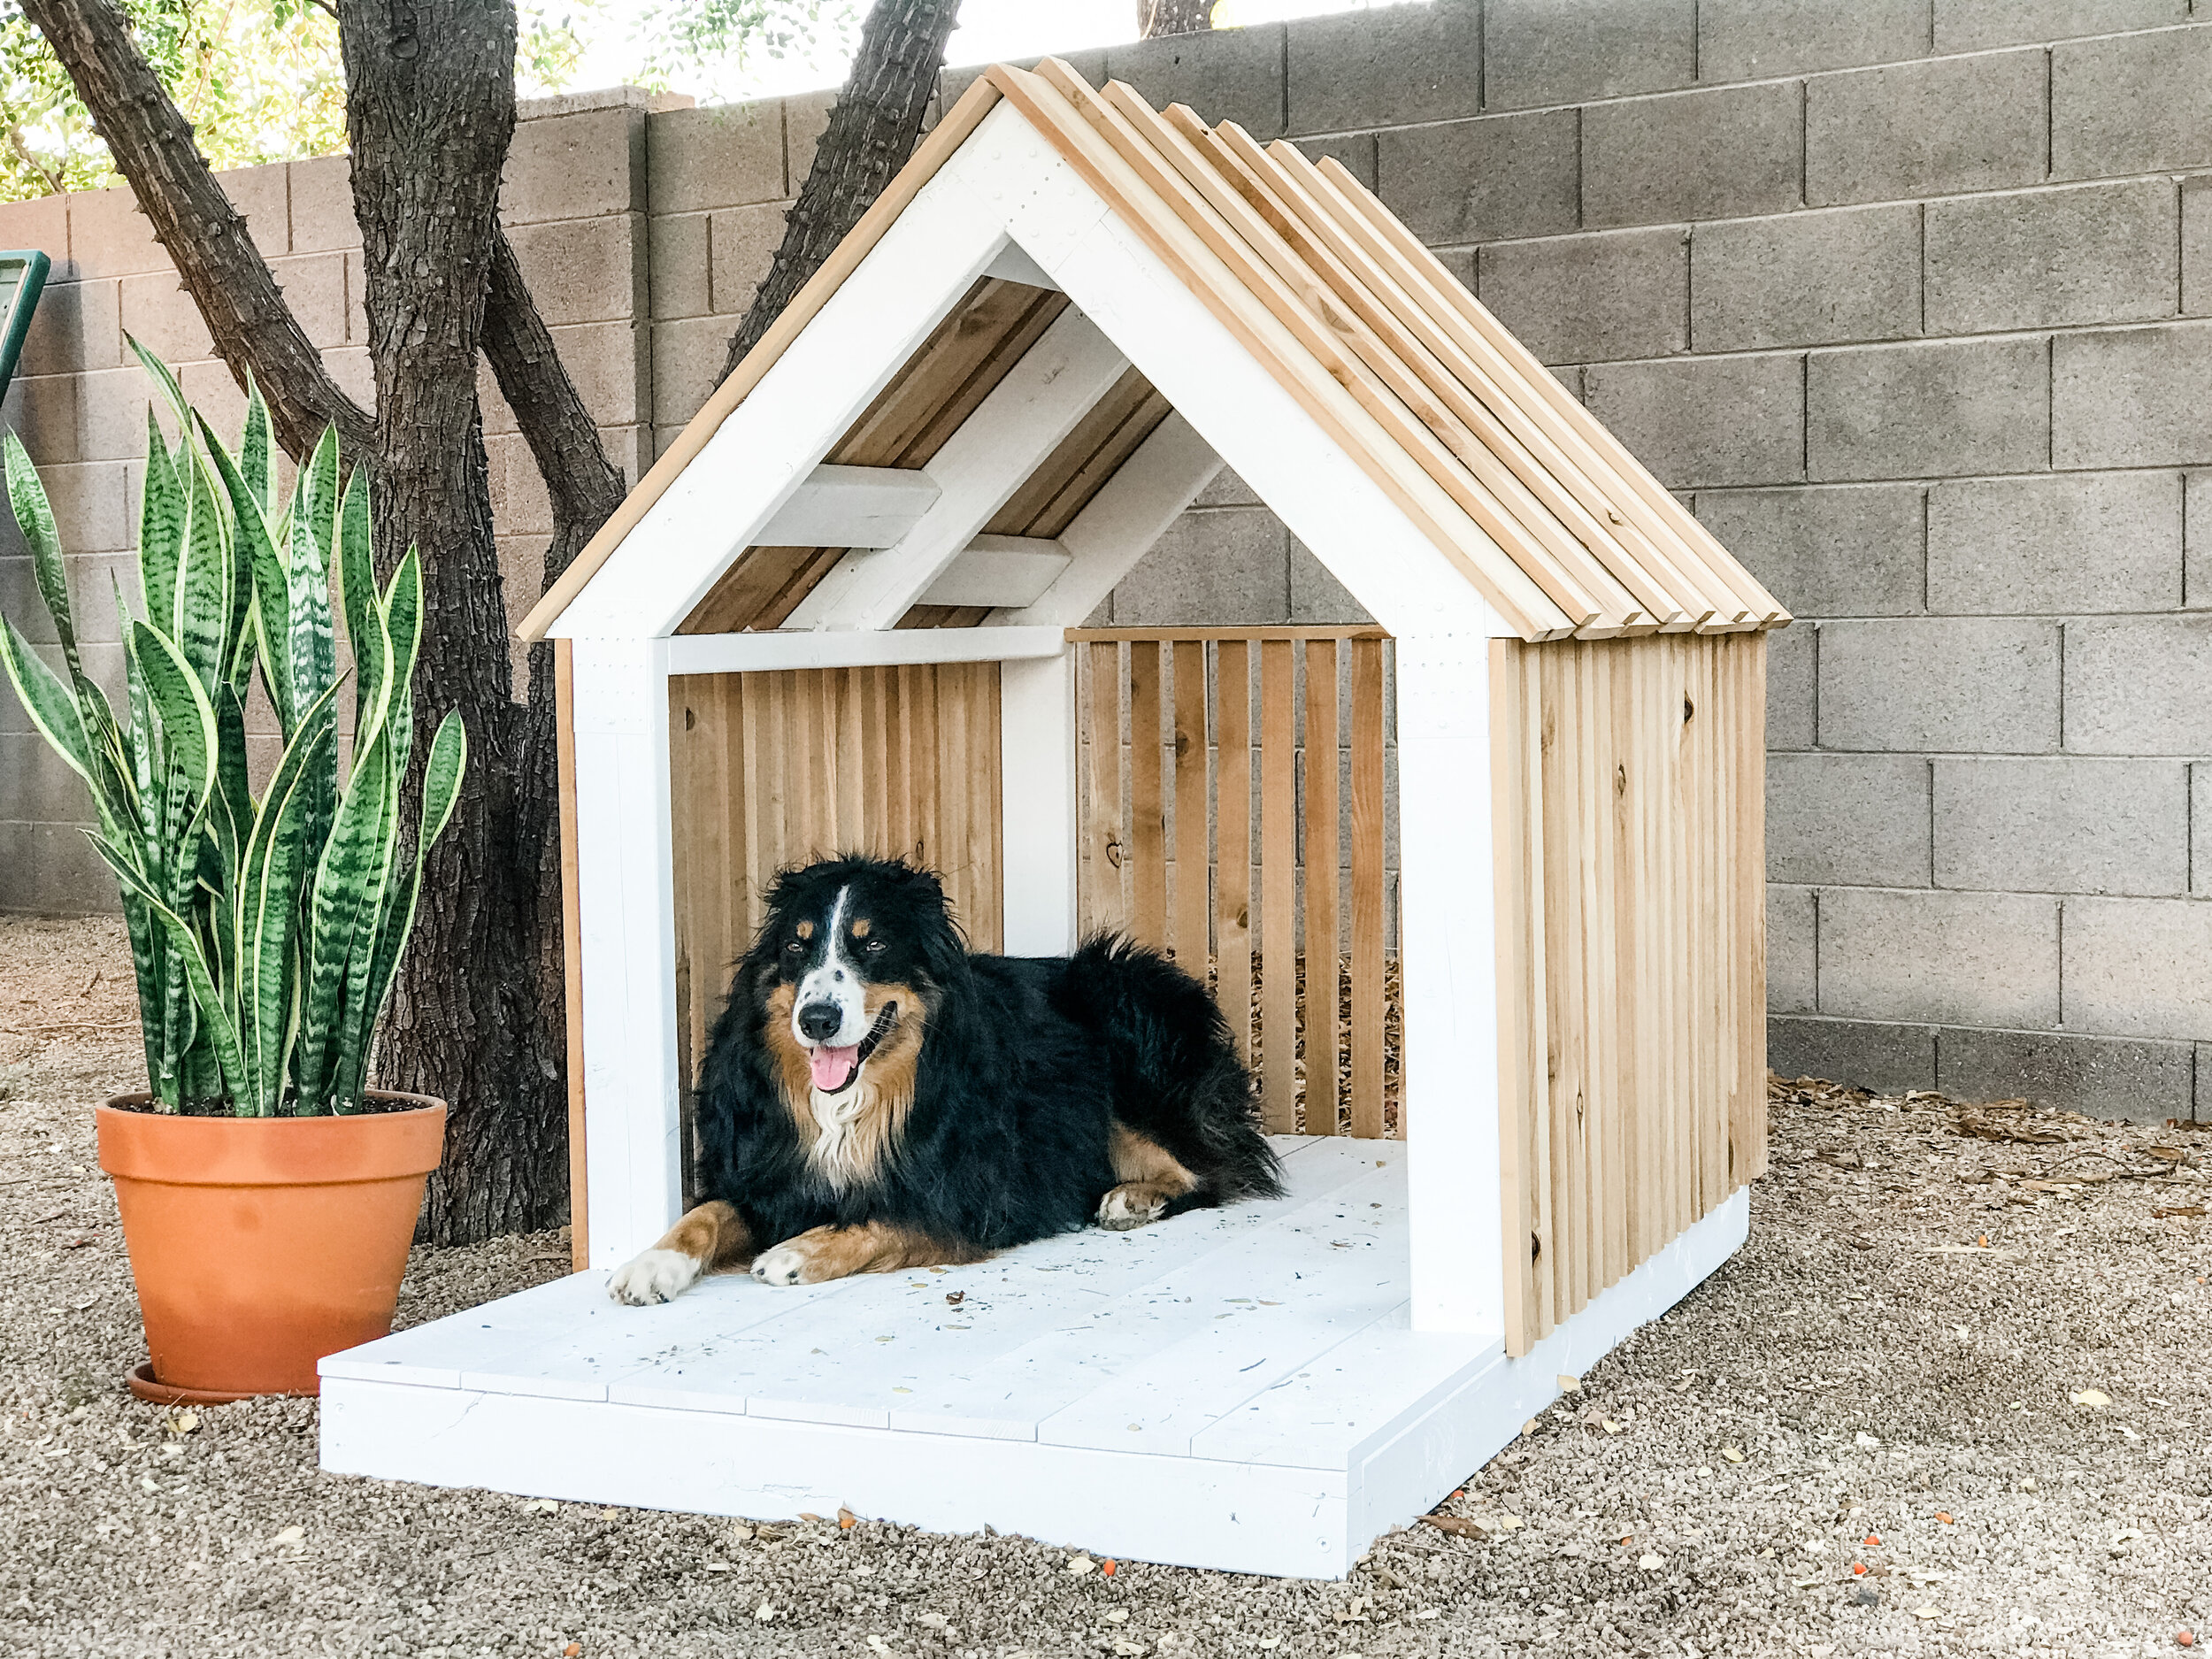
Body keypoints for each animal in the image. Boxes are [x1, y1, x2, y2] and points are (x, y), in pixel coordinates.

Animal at [606, 858, 1283, 1310]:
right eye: (797, 949)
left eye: (873, 943)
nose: (816, 1019)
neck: (852, 1103)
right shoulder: (768, 1175)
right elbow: (710, 1211)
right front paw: (653, 1263)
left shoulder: (976, 1195)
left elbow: (885, 1217)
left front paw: (796, 1252)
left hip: (1123, 1015)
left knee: (1213, 1170)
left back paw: (1133, 1198)